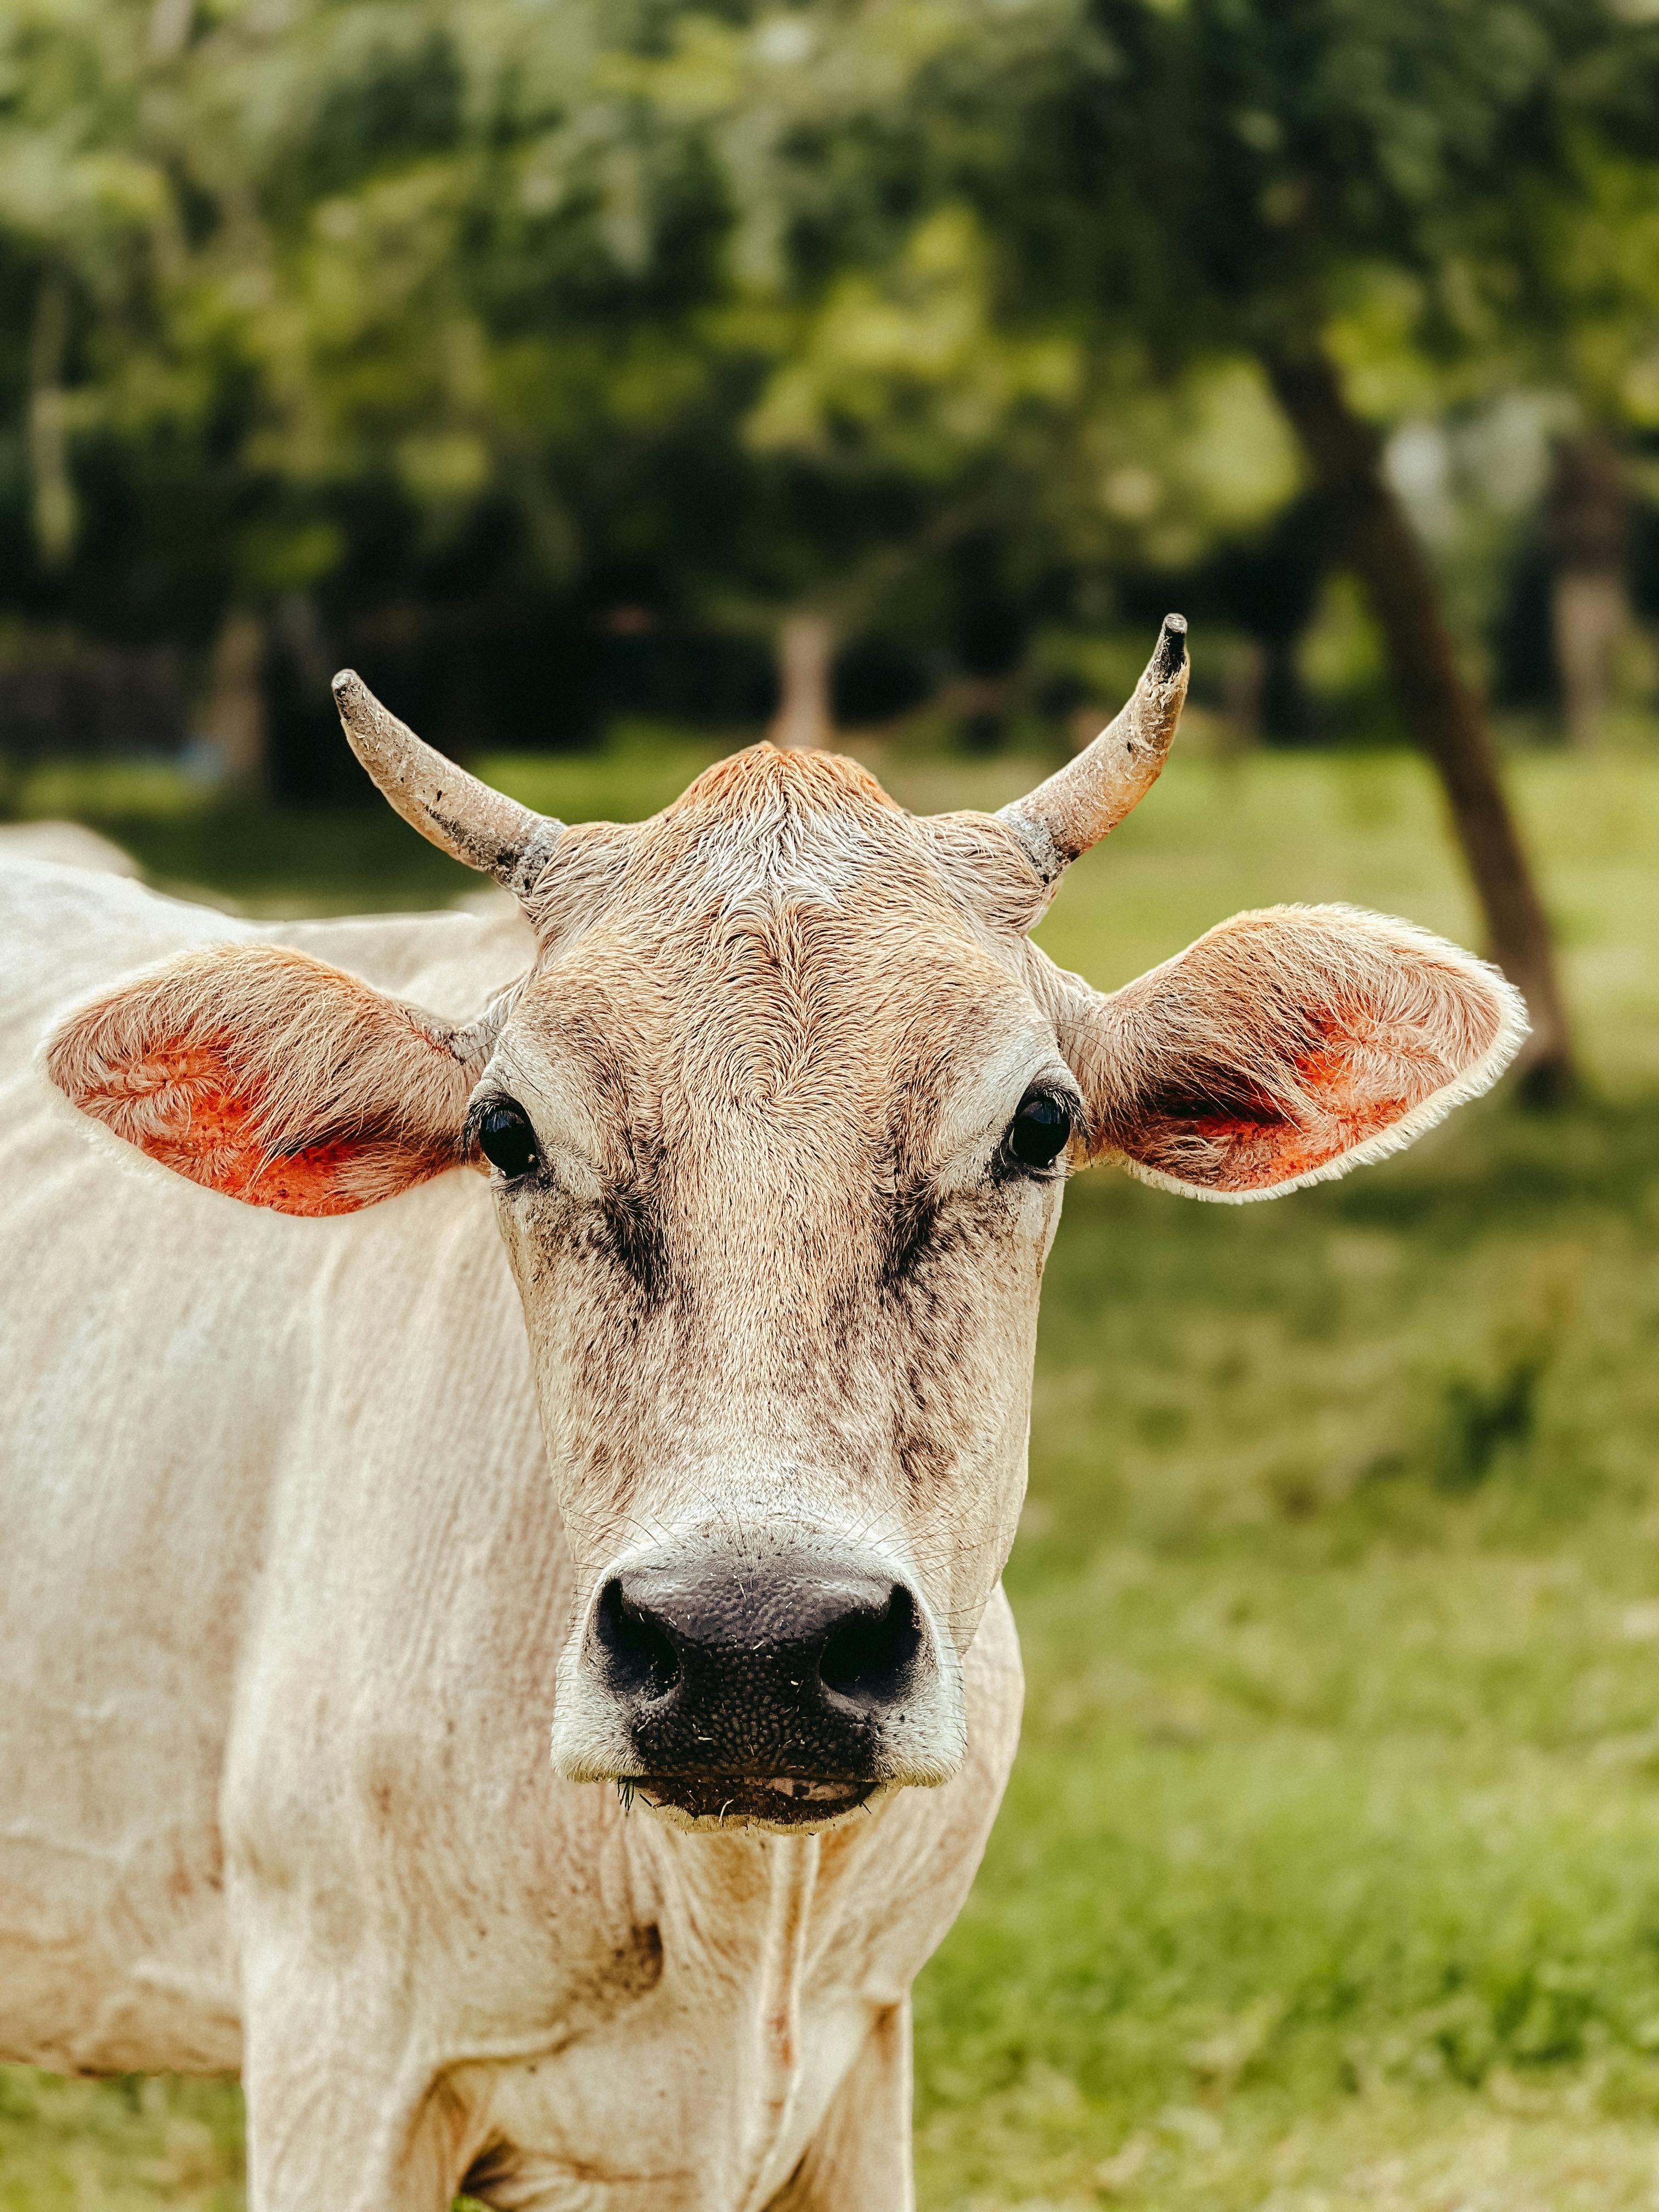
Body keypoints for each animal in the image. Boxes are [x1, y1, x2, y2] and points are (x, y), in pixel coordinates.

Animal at [0, 618, 1523, 2210]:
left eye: (1040, 1122)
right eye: (506, 1132)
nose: (753, 1643)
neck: (738, 1921)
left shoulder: (864, 2050)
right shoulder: (340, 2050)